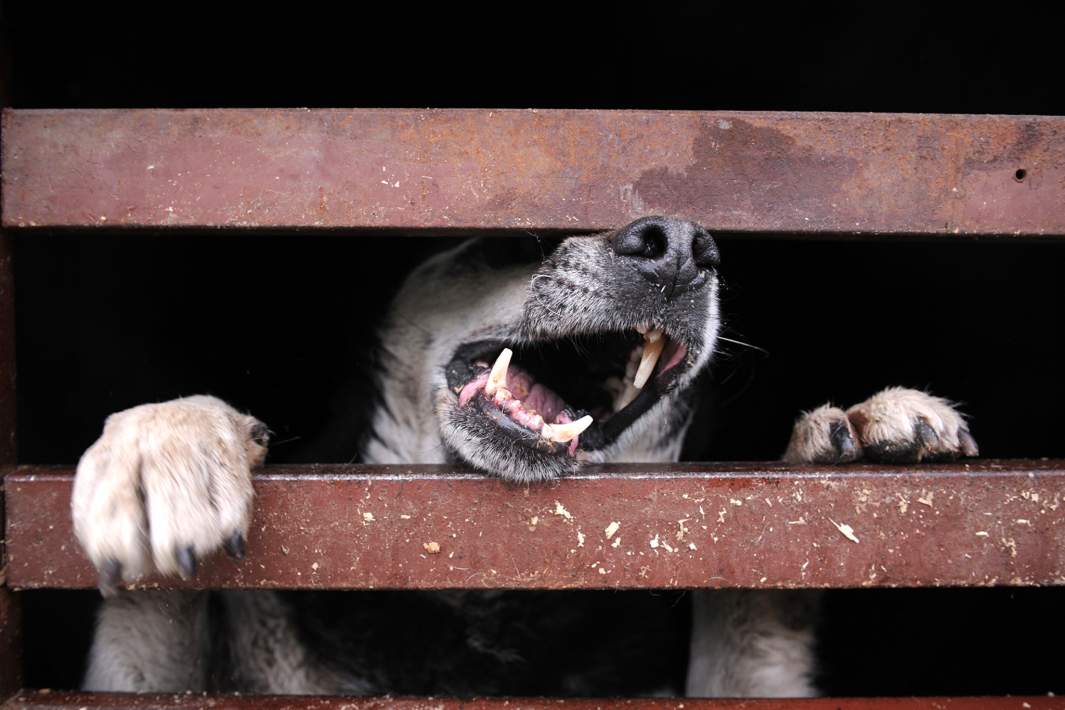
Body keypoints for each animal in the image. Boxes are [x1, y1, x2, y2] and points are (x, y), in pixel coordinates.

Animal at [70, 215, 975, 694]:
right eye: (502, 240)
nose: (683, 246)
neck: (482, 594)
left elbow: (756, 607)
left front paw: (853, 437)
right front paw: (165, 445)